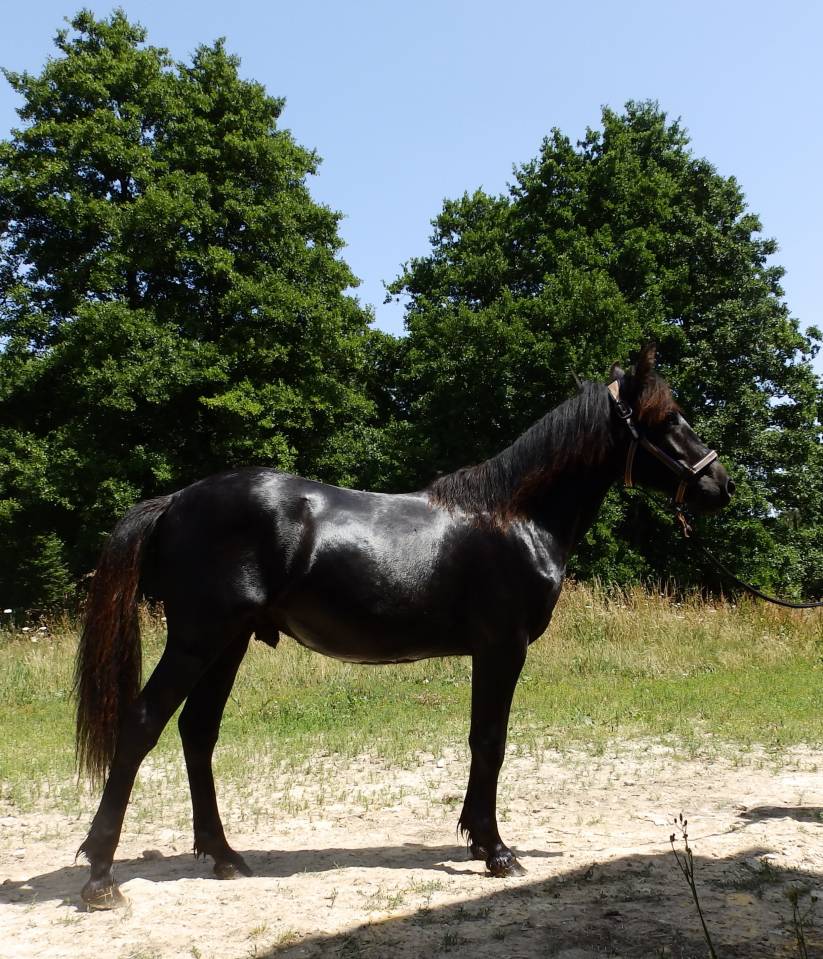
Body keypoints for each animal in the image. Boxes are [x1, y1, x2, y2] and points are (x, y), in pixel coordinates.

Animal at [74, 346, 733, 908]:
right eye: (665, 418)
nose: (719, 485)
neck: (514, 517)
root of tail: (176, 499)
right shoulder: (502, 648)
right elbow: (489, 742)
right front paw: (496, 850)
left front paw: (478, 839)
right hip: (199, 638)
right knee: (142, 725)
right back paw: (101, 878)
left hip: (228, 642)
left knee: (197, 732)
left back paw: (224, 856)